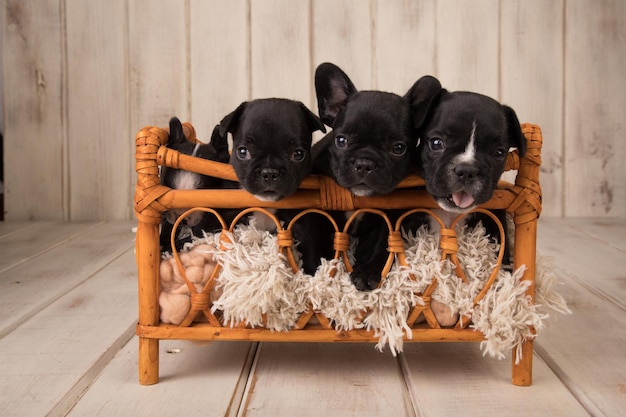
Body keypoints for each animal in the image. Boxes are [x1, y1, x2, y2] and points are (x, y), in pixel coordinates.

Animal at [214, 97, 330, 272]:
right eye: (243, 152)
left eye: (298, 154)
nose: (269, 172)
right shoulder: (231, 215)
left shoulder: (304, 224)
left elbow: (310, 251)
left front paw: (311, 274)